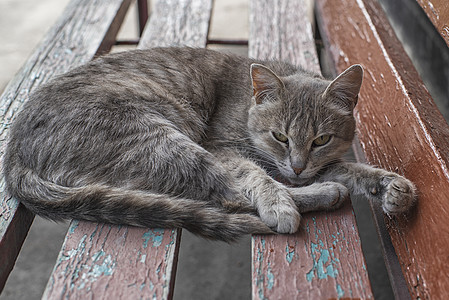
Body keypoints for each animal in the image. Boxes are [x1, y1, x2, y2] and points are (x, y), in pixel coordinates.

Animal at [4, 48, 416, 243]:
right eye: (280, 136)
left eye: (321, 139)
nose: (298, 167)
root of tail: (14, 152)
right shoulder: (223, 148)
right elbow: (257, 176)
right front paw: (279, 201)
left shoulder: (313, 164)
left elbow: (349, 168)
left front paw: (391, 187)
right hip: (162, 141)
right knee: (230, 195)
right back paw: (322, 194)